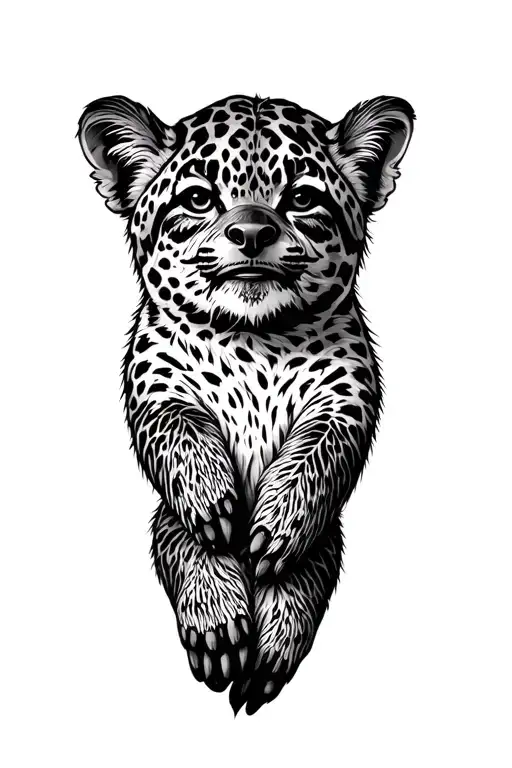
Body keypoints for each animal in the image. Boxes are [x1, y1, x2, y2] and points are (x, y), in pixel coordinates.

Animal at [78, 92, 414, 715]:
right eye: (198, 198)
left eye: (301, 198)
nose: (252, 232)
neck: (254, 339)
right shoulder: (155, 384)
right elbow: (180, 433)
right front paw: (214, 507)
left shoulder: (348, 390)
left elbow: (318, 452)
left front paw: (278, 529)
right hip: (164, 521)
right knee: (177, 541)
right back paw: (219, 627)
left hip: (329, 539)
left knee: (312, 566)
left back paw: (271, 646)